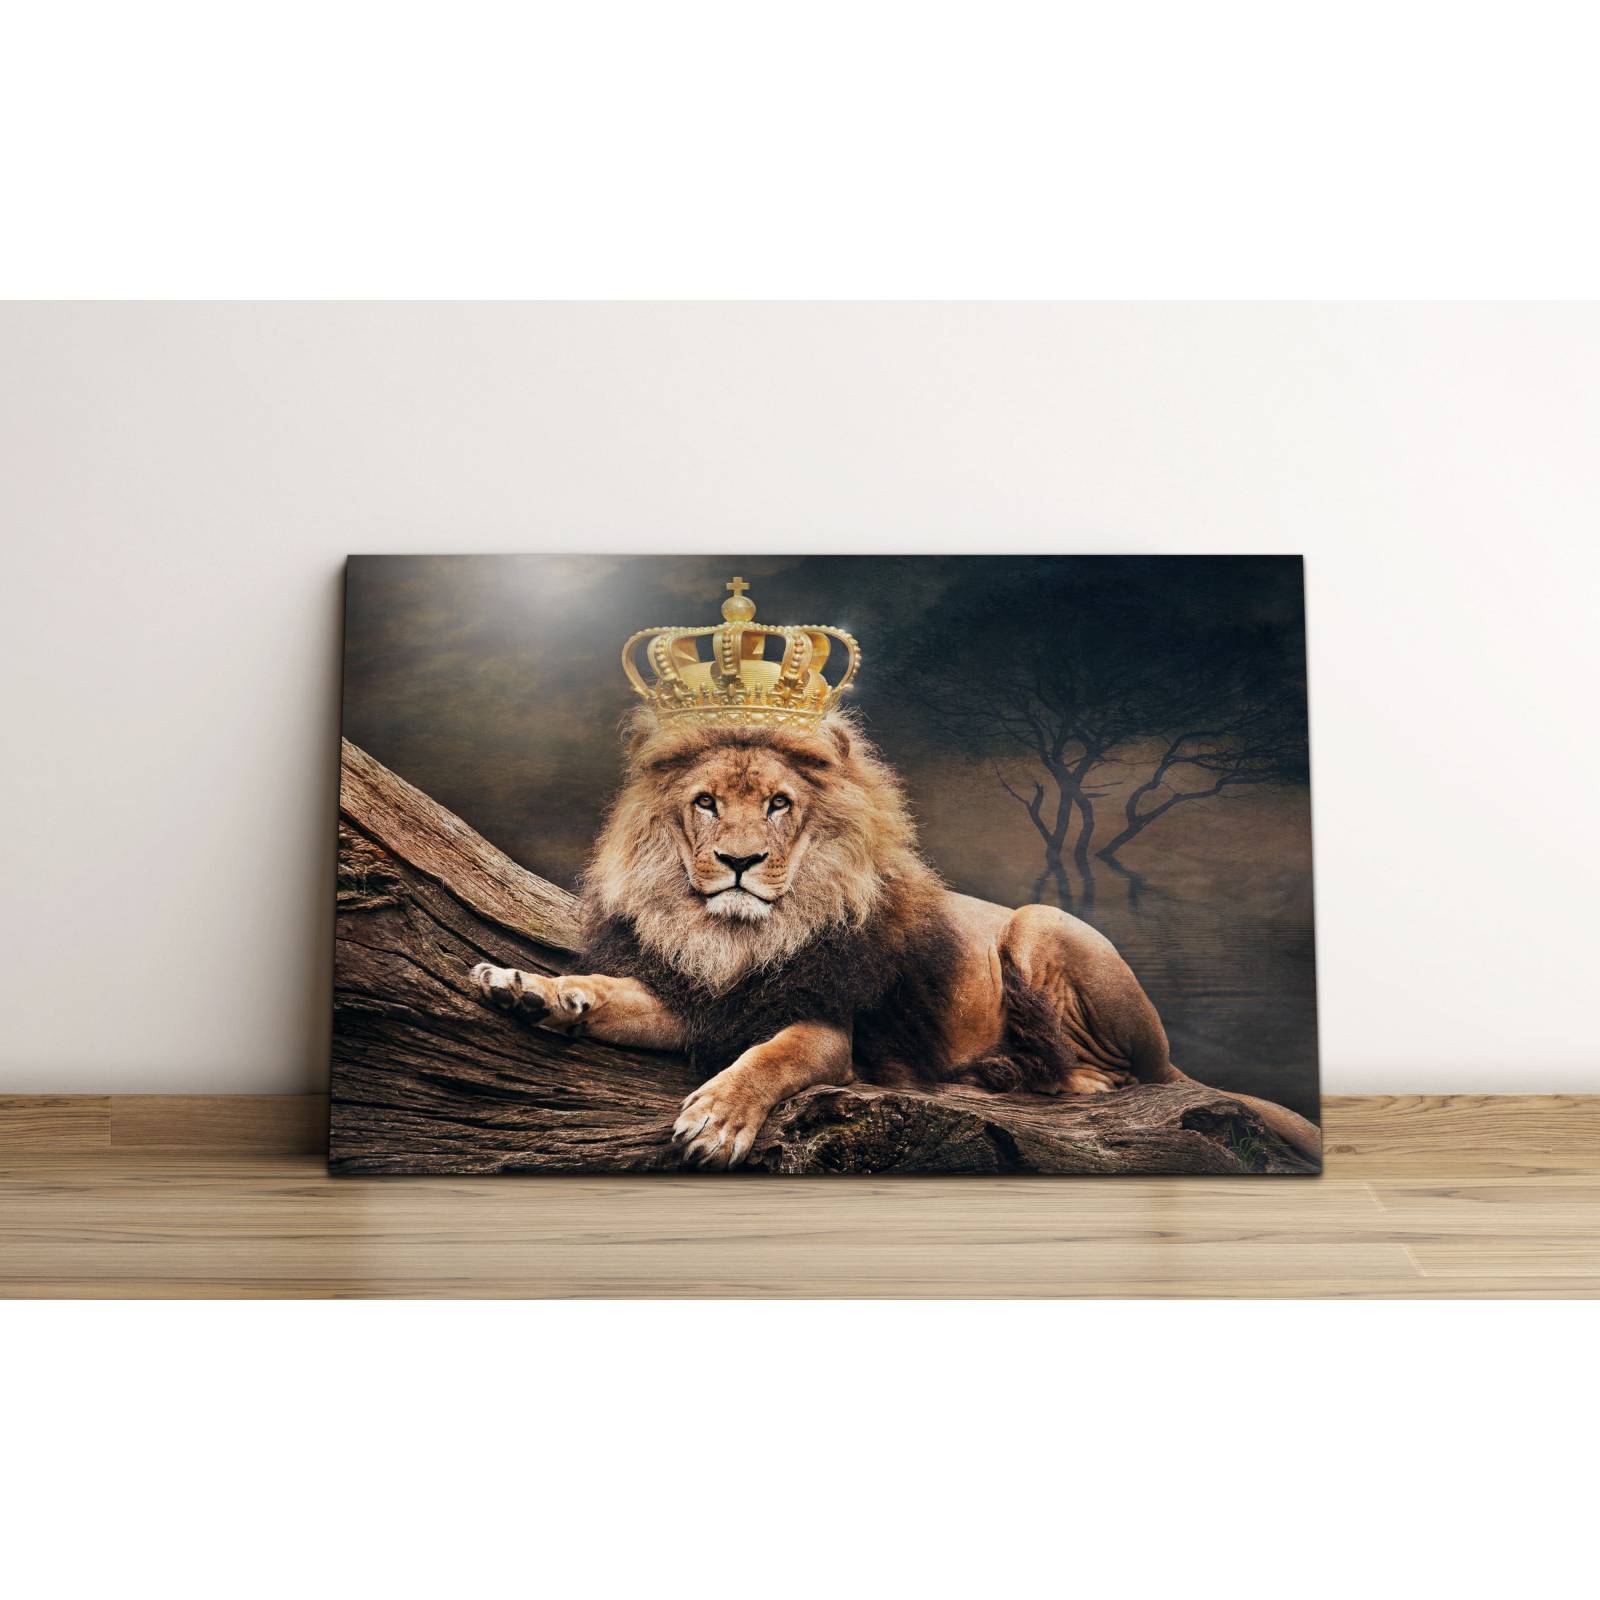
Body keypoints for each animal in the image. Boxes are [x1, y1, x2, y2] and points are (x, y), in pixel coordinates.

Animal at [471, 709, 1322, 1169]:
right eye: (706, 802)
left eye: (779, 804)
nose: (739, 863)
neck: (739, 937)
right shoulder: (706, 999)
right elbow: (613, 994)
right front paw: (531, 988)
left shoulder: (827, 1028)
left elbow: (771, 1058)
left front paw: (716, 1120)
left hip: (1039, 922)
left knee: (1116, 1076)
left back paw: (1023, 1075)